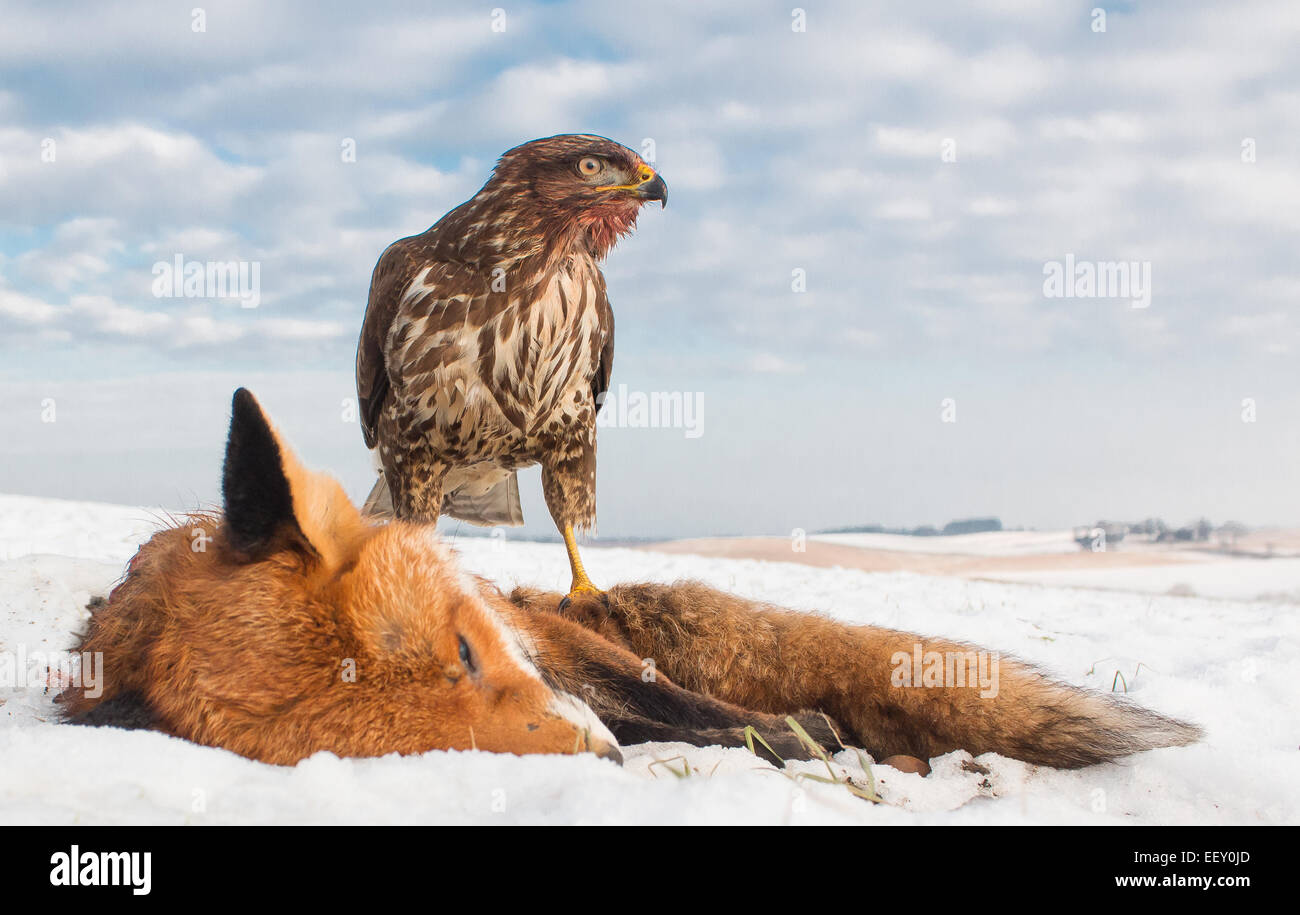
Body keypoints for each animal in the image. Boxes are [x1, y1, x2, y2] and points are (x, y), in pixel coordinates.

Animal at [58, 389, 1196, 769]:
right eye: (436, 746)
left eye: (465, 649)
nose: (594, 759)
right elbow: (670, 726)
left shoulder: (552, 646)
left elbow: (686, 705)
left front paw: (785, 735)